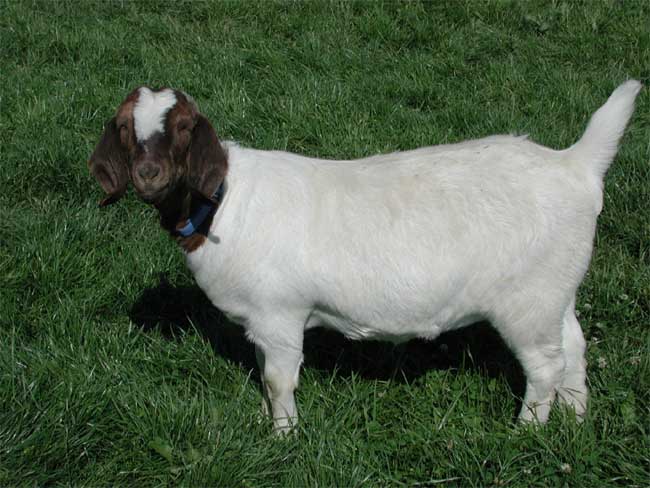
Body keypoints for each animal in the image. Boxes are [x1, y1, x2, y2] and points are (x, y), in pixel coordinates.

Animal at [89, 81, 641, 432]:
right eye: (124, 127)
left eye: (184, 127)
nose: (149, 174)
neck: (223, 204)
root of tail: (575, 166)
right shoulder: (266, 322)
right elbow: (267, 374)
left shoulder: (280, 315)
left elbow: (278, 380)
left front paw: (284, 436)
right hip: (555, 289)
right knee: (574, 347)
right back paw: (575, 418)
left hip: (524, 302)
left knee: (545, 365)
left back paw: (527, 431)